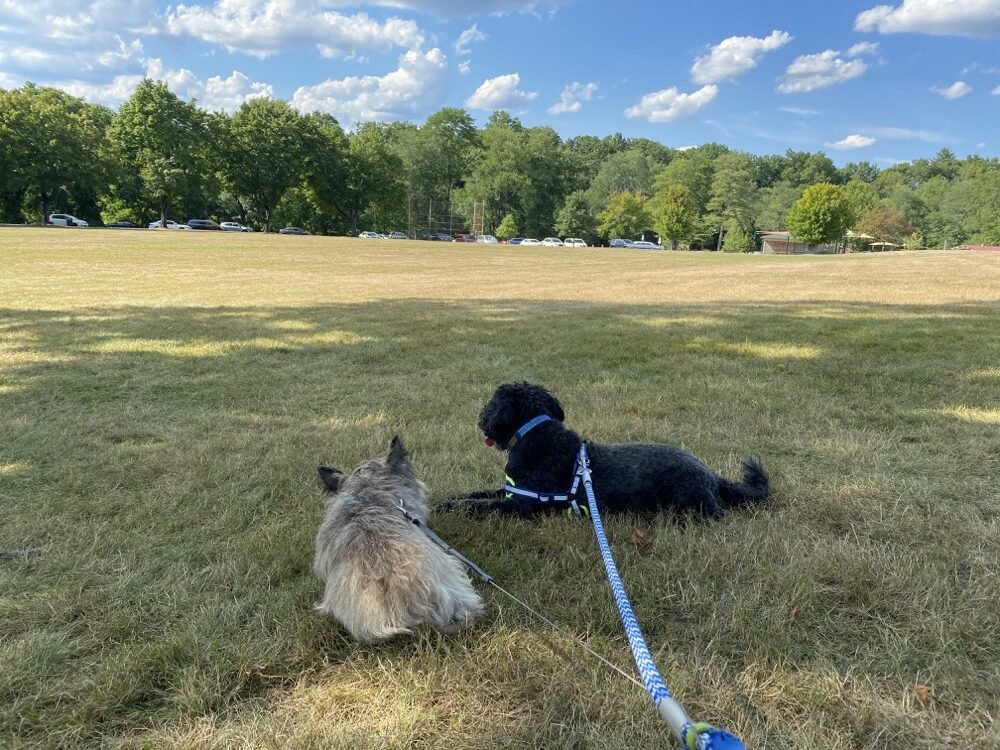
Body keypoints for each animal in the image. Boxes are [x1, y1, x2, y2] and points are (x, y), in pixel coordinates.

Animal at [442, 384, 768, 520]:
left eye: (491, 403)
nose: (481, 419)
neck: (538, 433)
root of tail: (710, 473)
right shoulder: (512, 491)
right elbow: (478, 494)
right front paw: (449, 500)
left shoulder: (523, 505)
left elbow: (480, 506)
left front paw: (454, 507)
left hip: (690, 503)